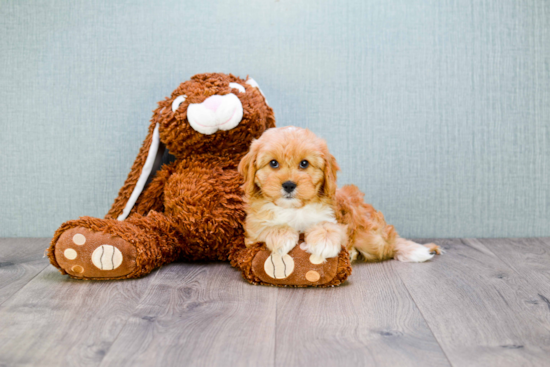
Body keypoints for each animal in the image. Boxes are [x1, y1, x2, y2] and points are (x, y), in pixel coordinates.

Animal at [239, 126, 442, 264]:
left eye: (304, 164)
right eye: (273, 163)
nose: (289, 185)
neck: (293, 208)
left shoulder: (335, 218)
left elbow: (328, 227)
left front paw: (324, 242)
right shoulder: (252, 230)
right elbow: (266, 227)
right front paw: (281, 236)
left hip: (369, 235)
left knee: (387, 244)